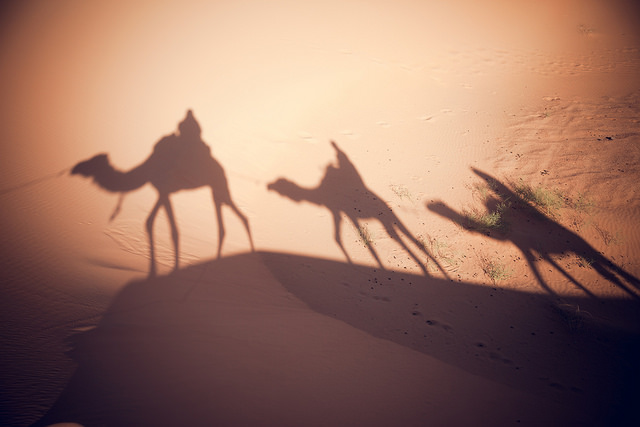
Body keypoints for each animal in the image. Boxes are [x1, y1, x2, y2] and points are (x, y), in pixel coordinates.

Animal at [71, 110, 254, 276]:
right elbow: (149, 221)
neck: (148, 168)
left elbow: (173, 230)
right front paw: (153, 270)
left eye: (92, 162)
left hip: (219, 184)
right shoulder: (162, 192)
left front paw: (174, 270)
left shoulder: (165, 190)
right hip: (215, 189)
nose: (75, 168)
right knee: (230, 223)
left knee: (236, 220)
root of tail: (218, 164)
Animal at [267, 140, 445, 276]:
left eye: (279, 182)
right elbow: (338, 237)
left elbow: (352, 239)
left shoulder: (340, 211)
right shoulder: (339, 213)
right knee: (404, 238)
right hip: (387, 221)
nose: (268, 186)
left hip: (388, 218)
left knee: (408, 238)